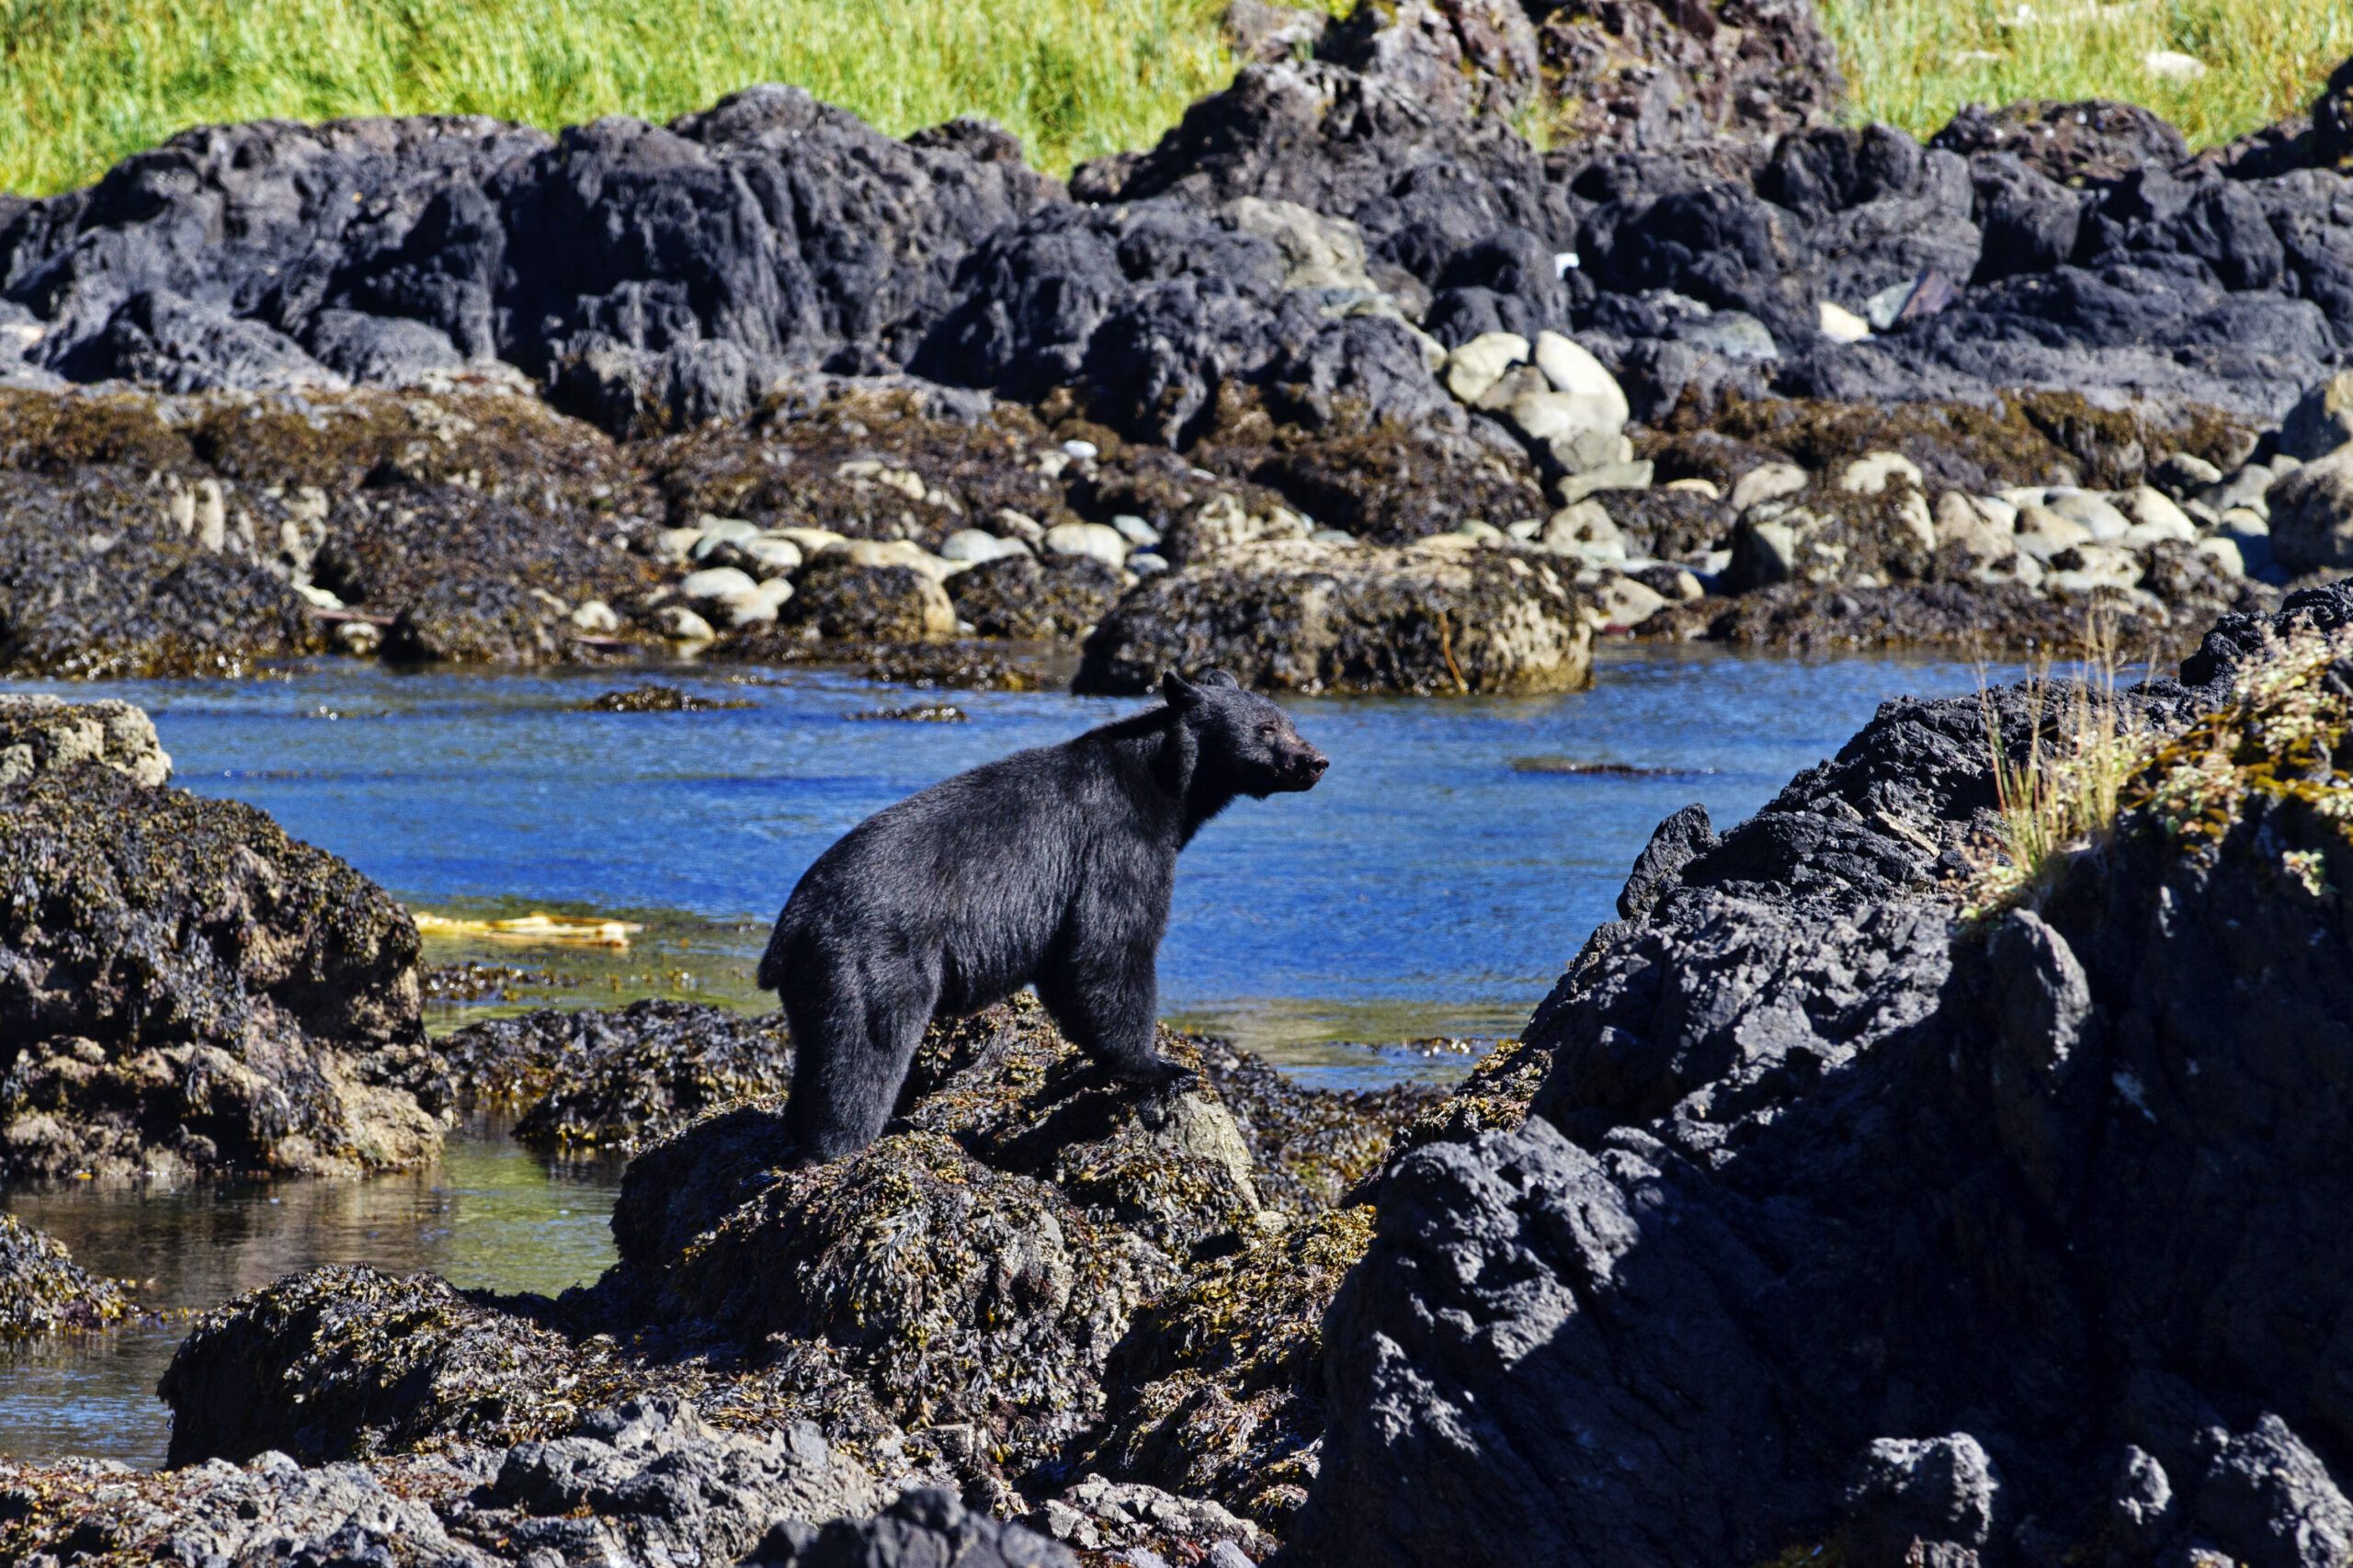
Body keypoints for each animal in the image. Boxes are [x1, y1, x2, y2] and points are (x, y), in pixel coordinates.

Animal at [757, 668, 1329, 1162]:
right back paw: (847, 1144)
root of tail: (789, 929)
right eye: (1266, 727)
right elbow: (1109, 946)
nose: (1316, 760)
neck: (1163, 784)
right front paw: (1160, 1068)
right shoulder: (1115, 845)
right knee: (863, 1054)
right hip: (874, 962)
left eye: (1289, 719)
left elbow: (1069, 968)